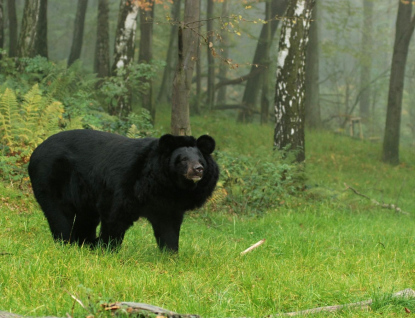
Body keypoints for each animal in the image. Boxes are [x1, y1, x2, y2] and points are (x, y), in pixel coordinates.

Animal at [27, 130, 219, 252]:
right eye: (183, 160)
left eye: (200, 159)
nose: (198, 170)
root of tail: (36, 151)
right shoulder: (124, 184)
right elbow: (114, 215)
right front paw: (107, 249)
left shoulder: (168, 202)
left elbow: (168, 227)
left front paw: (170, 254)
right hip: (51, 177)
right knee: (59, 213)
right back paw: (67, 243)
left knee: (85, 217)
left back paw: (84, 243)